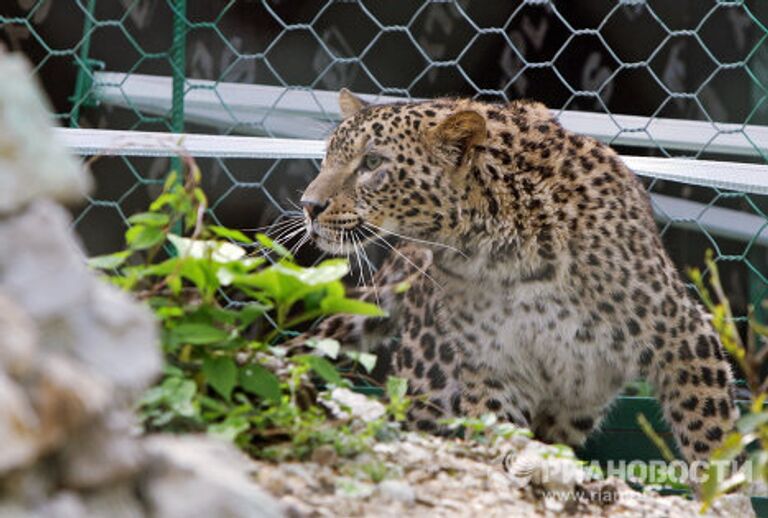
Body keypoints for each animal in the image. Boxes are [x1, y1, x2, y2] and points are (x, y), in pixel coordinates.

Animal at [296, 89, 736, 468]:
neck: (498, 253)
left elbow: (711, 437)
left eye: (371, 164)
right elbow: (500, 434)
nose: (308, 206)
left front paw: (722, 499)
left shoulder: (683, 336)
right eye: (327, 157)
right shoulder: (494, 368)